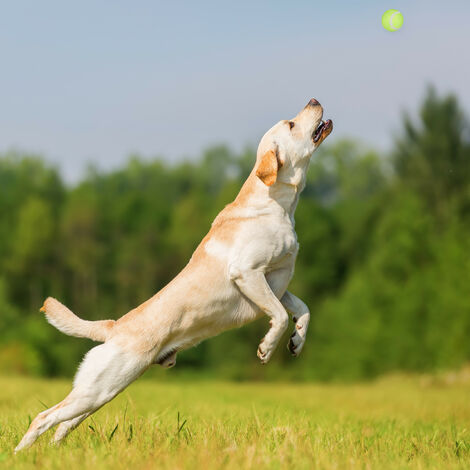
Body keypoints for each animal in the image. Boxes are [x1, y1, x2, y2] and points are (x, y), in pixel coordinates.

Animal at [13, 99, 330, 452]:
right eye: (291, 124)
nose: (314, 101)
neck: (278, 204)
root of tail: (114, 327)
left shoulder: (276, 280)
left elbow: (302, 309)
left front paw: (297, 342)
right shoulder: (248, 273)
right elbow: (279, 314)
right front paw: (267, 347)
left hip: (99, 393)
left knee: (62, 424)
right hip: (98, 389)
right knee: (43, 417)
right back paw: (20, 454)